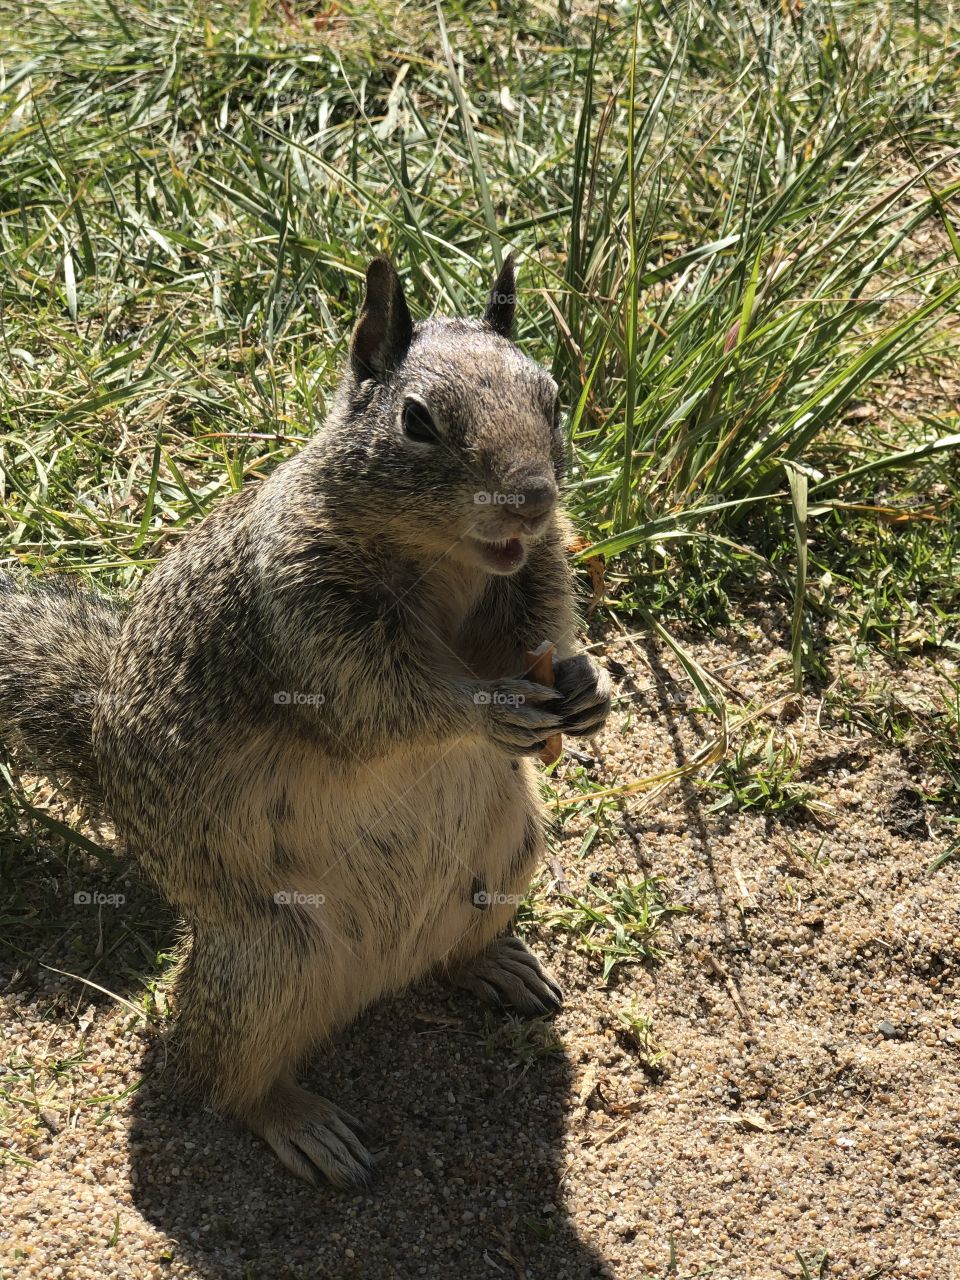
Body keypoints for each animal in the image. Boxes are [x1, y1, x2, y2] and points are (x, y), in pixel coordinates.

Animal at [0, 257, 611, 1187]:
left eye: (551, 398)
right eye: (417, 420)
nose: (532, 500)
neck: (444, 560)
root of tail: (380, 976)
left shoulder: (532, 580)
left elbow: (537, 633)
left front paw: (588, 684)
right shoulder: (308, 619)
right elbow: (389, 702)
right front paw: (490, 708)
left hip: (508, 858)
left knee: (455, 951)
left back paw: (498, 963)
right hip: (267, 960)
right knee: (221, 1077)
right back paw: (303, 1125)